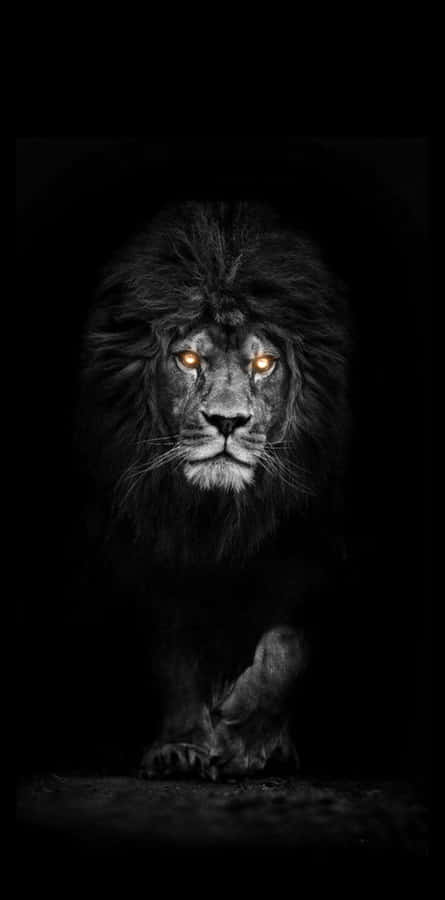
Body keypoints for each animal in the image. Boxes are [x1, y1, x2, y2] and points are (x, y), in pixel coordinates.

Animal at [79, 201, 350, 779]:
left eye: (264, 364)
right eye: (187, 359)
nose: (227, 421)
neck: (219, 517)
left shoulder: (318, 554)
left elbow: (287, 646)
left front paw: (244, 738)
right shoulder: (156, 558)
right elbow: (174, 658)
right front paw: (182, 746)